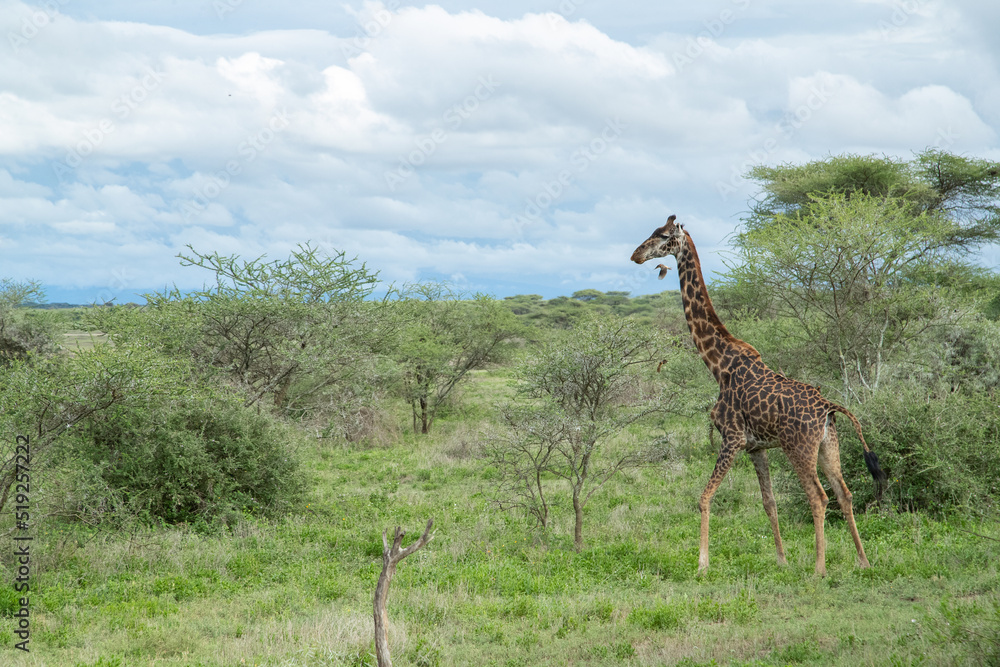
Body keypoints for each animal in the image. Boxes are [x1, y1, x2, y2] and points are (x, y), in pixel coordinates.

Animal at [631, 215, 887, 576]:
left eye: (664, 236)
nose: (636, 255)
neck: (718, 364)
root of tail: (828, 407)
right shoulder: (756, 447)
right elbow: (769, 502)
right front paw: (781, 559)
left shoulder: (732, 438)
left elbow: (704, 497)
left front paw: (702, 564)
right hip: (828, 445)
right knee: (844, 493)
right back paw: (863, 561)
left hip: (799, 448)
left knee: (818, 497)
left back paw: (819, 569)